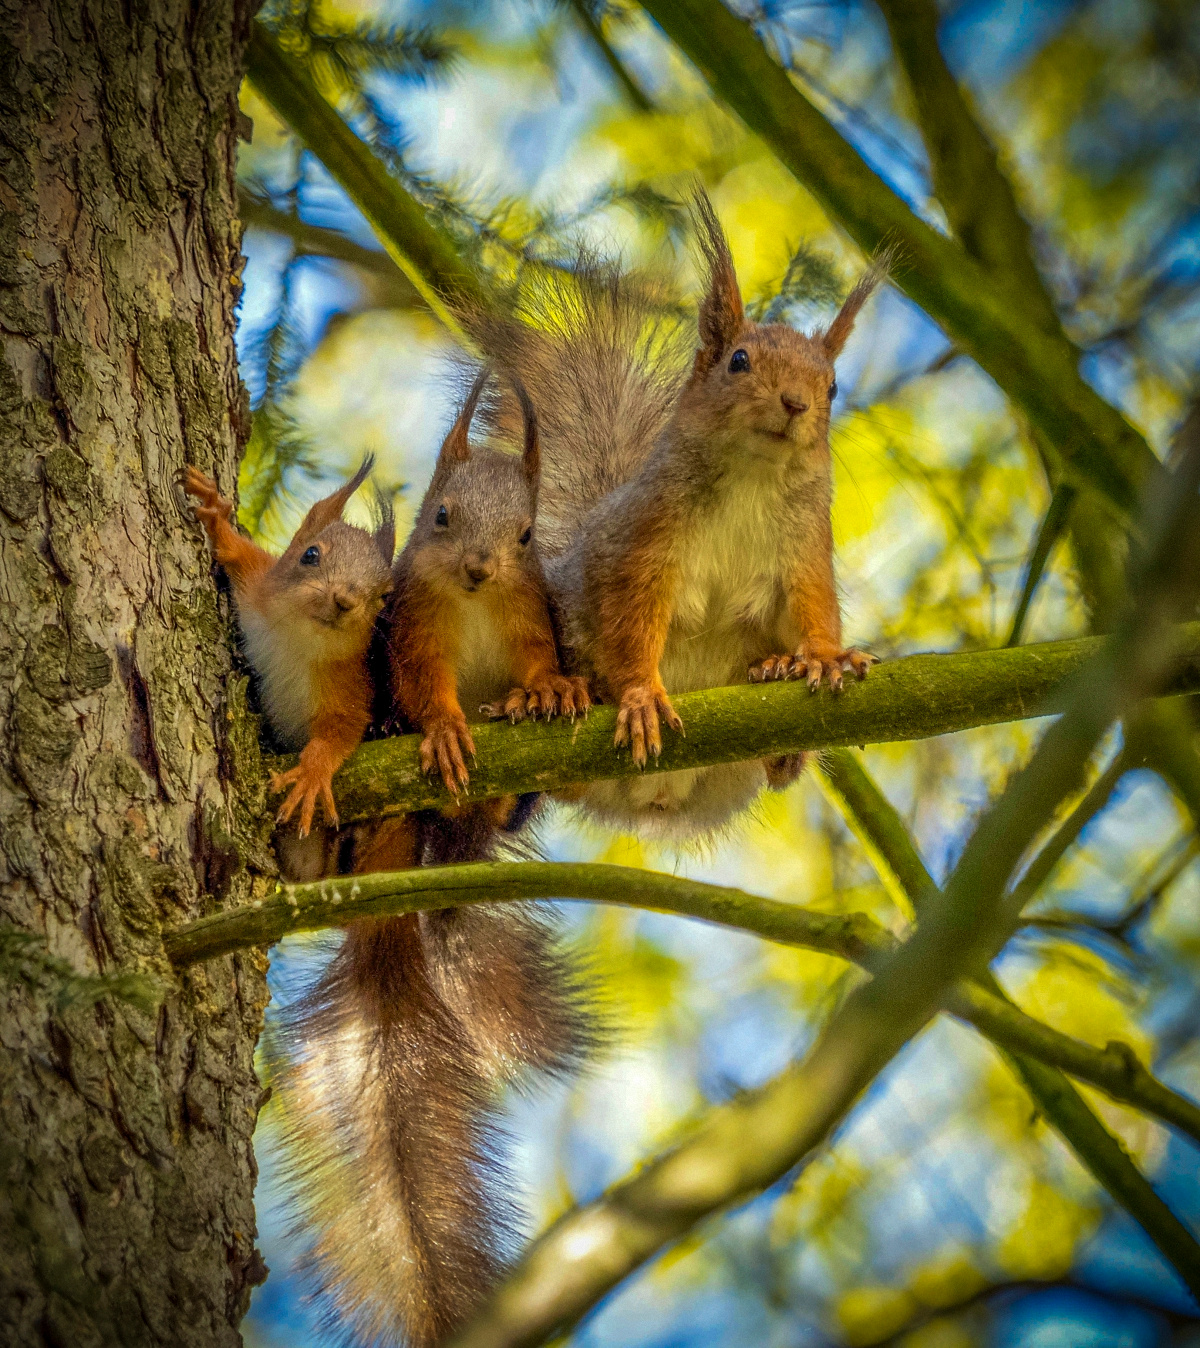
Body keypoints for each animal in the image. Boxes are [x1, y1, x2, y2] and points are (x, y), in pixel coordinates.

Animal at [183, 457, 393, 838]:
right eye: (310, 554)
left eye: (384, 596)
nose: (344, 600)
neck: (297, 642)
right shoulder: (256, 590)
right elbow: (241, 555)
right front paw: (216, 516)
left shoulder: (348, 683)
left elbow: (342, 729)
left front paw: (312, 773)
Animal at [268, 373, 598, 1348]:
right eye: (442, 515)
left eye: (526, 536)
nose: (483, 568)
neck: (477, 604)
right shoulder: (414, 634)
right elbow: (425, 691)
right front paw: (444, 728)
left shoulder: (529, 617)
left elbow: (537, 660)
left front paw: (551, 690)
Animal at [471, 191, 884, 840]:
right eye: (738, 360)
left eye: (833, 386)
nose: (796, 404)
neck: (751, 480)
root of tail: (658, 799)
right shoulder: (643, 542)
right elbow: (632, 621)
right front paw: (641, 697)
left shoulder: (807, 546)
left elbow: (815, 605)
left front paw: (822, 656)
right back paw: (545, 699)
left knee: (780, 769)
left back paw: (776, 686)